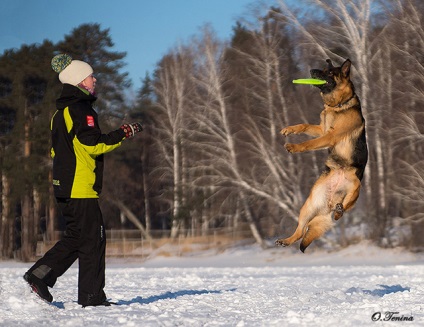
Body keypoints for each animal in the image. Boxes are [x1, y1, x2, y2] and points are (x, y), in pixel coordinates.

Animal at [274, 59, 368, 254]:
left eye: (330, 72)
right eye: (324, 69)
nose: (311, 70)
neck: (338, 105)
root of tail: (331, 202)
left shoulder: (329, 136)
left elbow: (309, 144)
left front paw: (294, 147)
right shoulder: (322, 130)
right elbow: (304, 125)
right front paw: (290, 129)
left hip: (356, 187)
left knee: (342, 212)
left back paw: (339, 210)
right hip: (307, 207)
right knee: (300, 231)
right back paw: (286, 240)